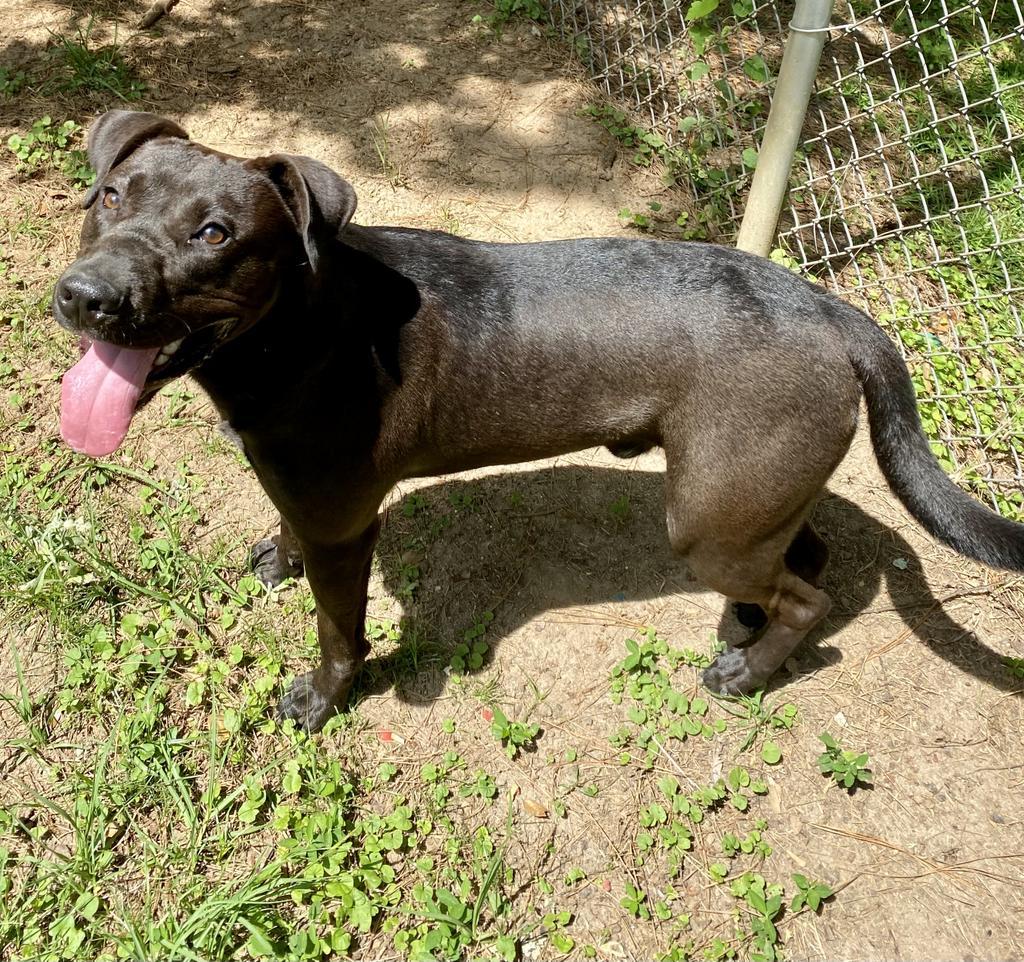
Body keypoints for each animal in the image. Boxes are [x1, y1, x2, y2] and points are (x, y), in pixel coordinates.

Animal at [54, 111, 1024, 729]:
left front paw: (322, 699)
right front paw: (276, 559)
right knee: (806, 556)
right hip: (751, 496)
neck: (296, 325)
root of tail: (832, 309)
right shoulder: (308, 496)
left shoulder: (345, 529)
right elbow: (288, 529)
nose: (84, 297)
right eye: (113, 193)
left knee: (809, 595)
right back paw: (744, 629)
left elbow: (338, 631)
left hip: (706, 520)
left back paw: (746, 673)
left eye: (215, 233)